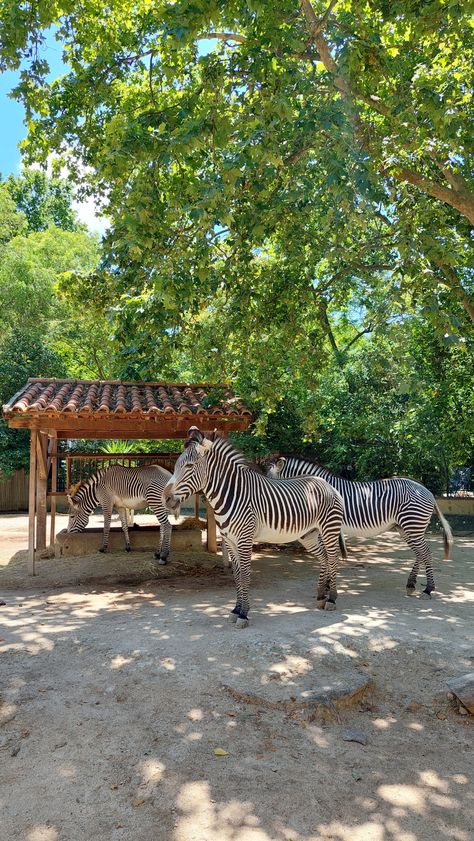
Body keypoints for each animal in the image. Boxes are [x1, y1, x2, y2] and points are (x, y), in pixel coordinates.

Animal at [163, 426, 344, 624]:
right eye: (176, 466)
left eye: (189, 466)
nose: (166, 499)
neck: (231, 494)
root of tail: (326, 483)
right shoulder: (229, 540)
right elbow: (236, 576)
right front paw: (235, 610)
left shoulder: (244, 539)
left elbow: (245, 575)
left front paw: (243, 614)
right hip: (310, 534)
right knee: (324, 557)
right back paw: (321, 596)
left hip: (329, 529)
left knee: (333, 558)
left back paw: (332, 599)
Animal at [264, 452, 454, 596]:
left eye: (269, 479)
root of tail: (426, 490)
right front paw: (327, 585)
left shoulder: (326, 527)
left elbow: (329, 555)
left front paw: (327, 586)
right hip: (405, 528)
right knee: (420, 553)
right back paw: (411, 584)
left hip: (413, 525)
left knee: (426, 552)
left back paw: (429, 588)